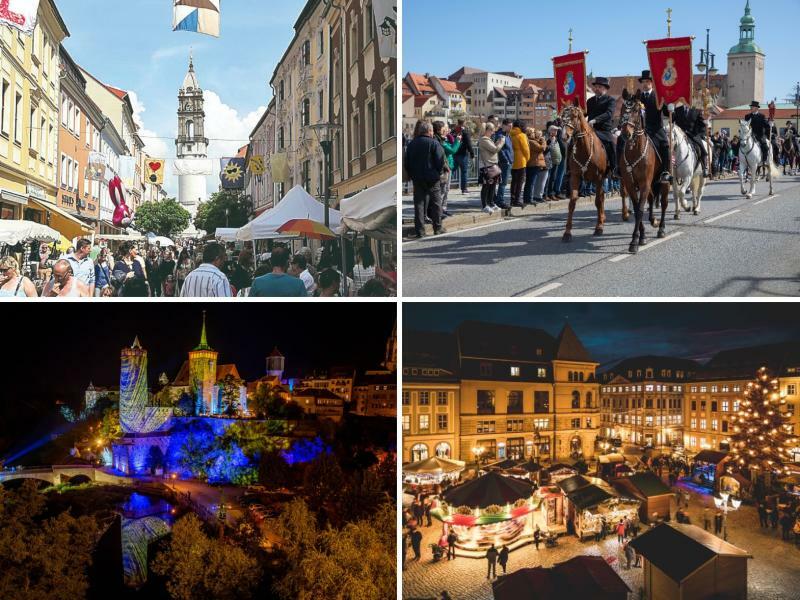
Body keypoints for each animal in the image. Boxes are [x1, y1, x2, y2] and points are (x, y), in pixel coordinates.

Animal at [560, 103, 608, 241]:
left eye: (574, 116)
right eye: (562, 117)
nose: (564, 136)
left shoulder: (599, 178)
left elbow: (597, 201)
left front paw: (599, 228)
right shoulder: (575, 177)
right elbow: (572, 202)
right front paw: (567, 233)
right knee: (602, 196)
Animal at [620, 90, 668, 254]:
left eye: (635, 110)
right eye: (622, 109)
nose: (625, 134)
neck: (635, 150)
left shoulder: (644, 183)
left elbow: (640, 210)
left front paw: (634, 241)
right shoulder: (631, 184)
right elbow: (636, 209)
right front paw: (641, 237)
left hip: (664, 182)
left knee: (664, 203)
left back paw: (661, 228)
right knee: (652, 199)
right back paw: (653, 220)